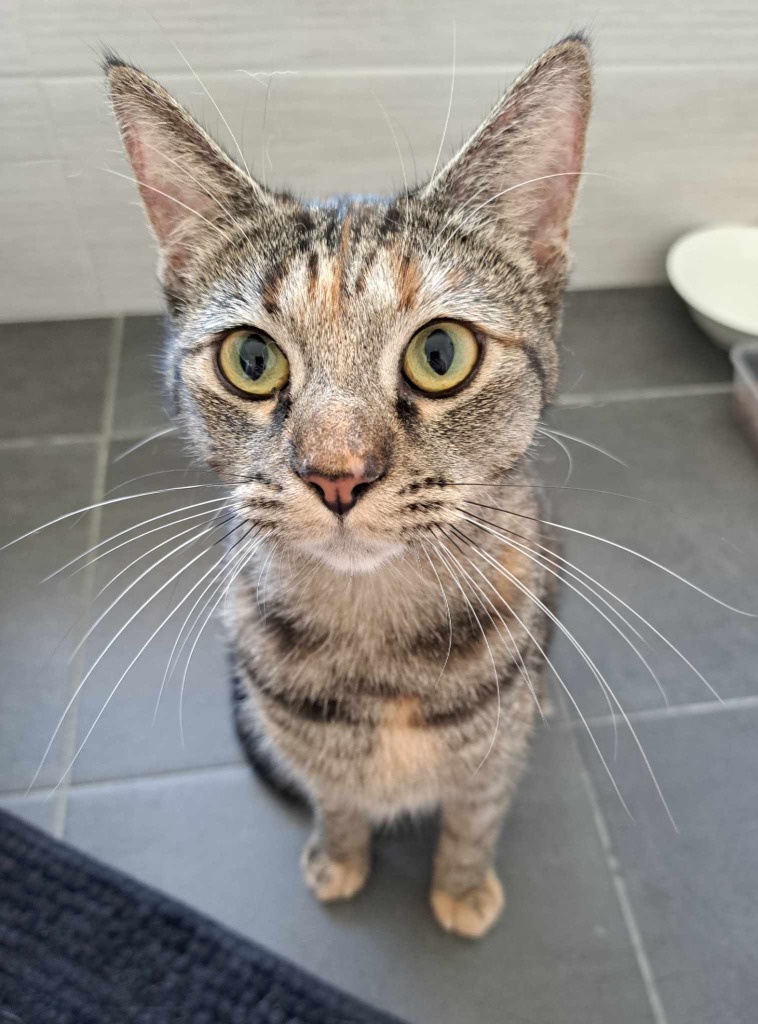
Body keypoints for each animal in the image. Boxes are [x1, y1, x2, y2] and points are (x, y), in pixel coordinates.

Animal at [105, 34, 591, 939]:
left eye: (441, 354)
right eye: (251, 360)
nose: (337, 473)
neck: (377, 653)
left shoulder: (488, 762)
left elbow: (476, 811)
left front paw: (462, 886)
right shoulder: (312, 756)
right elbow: (336, 801)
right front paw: (339, 857)